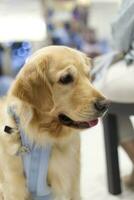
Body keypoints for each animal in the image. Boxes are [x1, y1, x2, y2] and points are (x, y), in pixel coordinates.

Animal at [0, 45, 109, 200]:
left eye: (88, 75)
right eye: (66, 78)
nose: (105, 105)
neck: (43, 136)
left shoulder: (72, 183)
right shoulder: (14, 188)